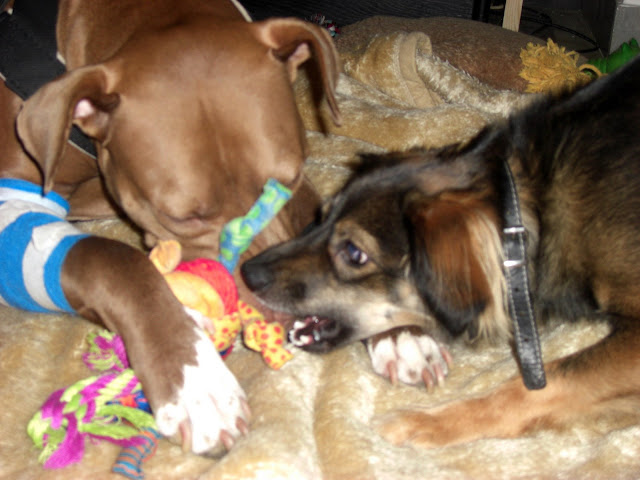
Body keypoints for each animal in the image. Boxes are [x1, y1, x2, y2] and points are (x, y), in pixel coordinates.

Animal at [0, 0, 340, 454]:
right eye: (182, 217)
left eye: (291, 177)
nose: (280, 304)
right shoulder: (15, 199)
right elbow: (110, 259)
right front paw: (194, 380)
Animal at [241, 54, 640, 447]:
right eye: (320, 217)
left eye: (355, 253)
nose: (246, 273)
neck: (529, 205)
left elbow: (538, 386)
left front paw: (426, 423)